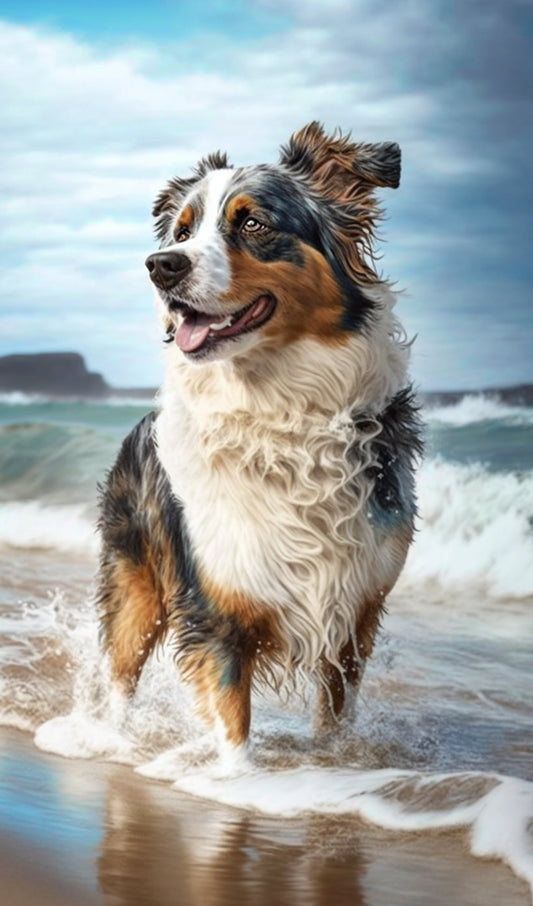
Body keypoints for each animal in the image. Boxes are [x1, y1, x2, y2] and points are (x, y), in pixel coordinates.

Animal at [95, 123, 420, 768]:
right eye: (183, 232)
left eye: (251, 223)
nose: (159, 266)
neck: (279, 408)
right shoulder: (215, 614)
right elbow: (233, 736)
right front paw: (238, 780)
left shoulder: (352, 613)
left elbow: (335, 717)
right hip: (134, 583)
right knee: (120, 673)